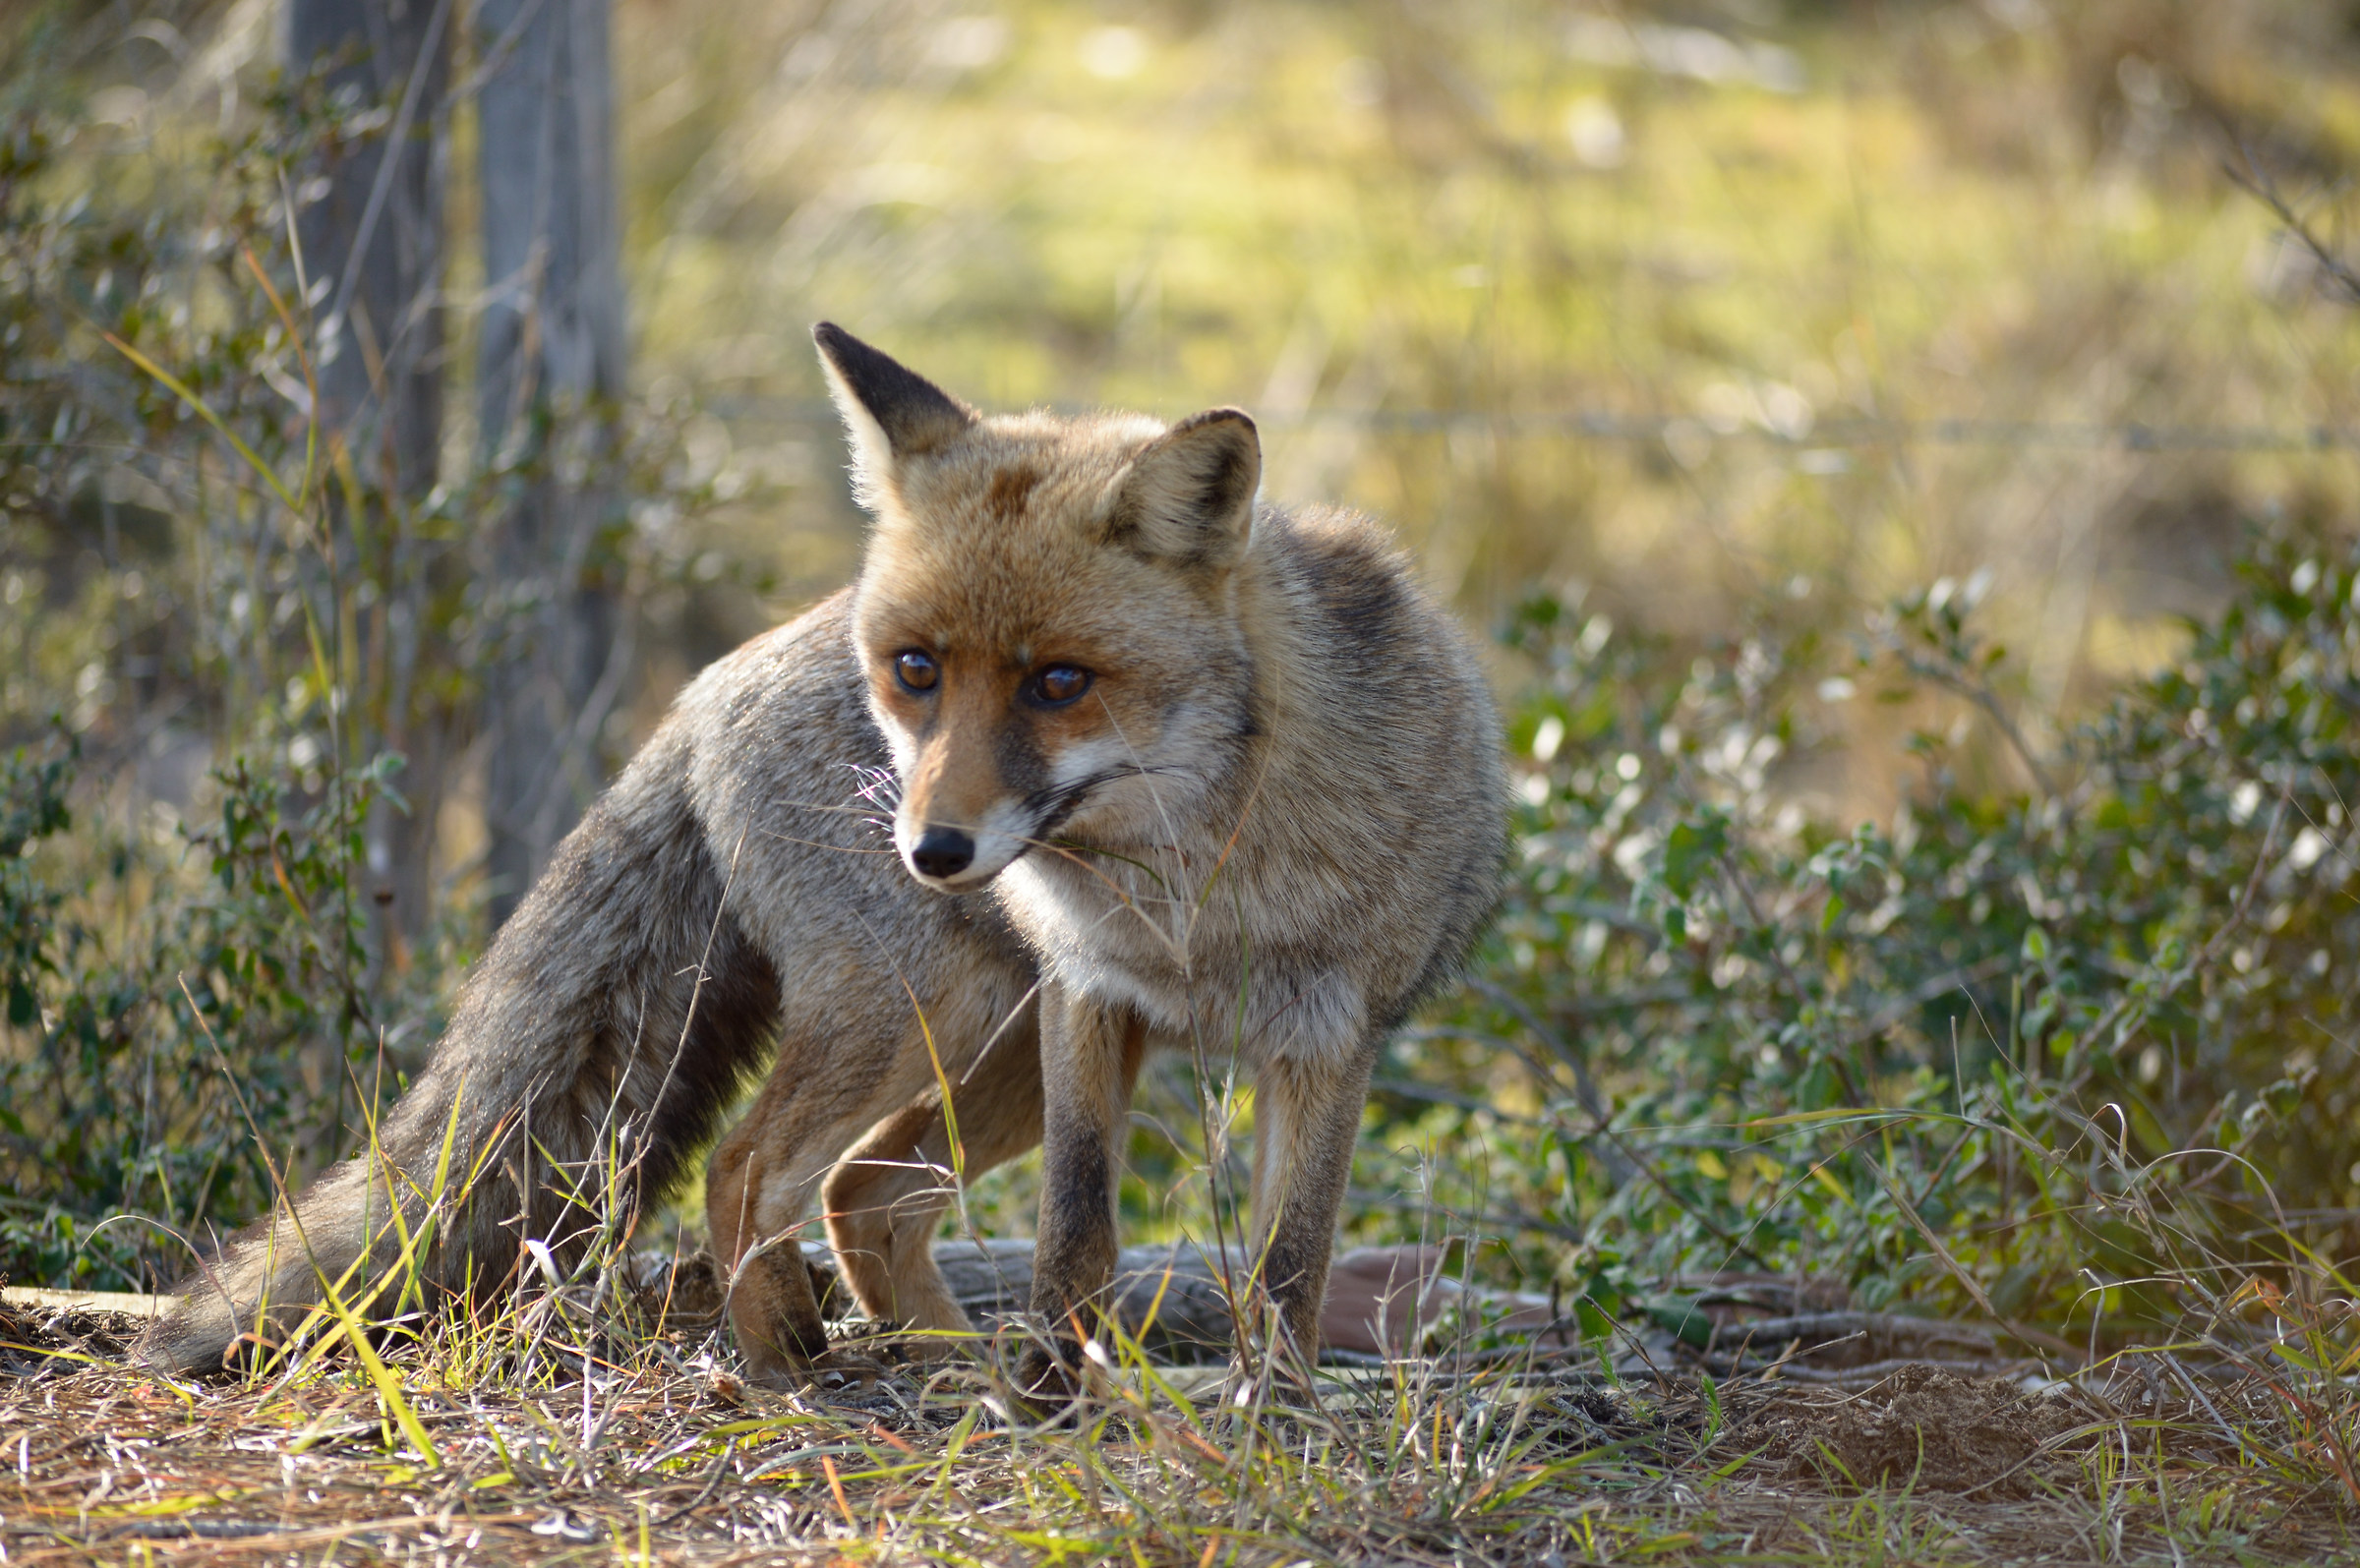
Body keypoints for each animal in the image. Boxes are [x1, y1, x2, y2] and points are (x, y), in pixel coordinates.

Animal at [139, 325, 1506, 1393]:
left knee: (861, 1192)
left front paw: (1265, 1415)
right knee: (755, 1168)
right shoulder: (1089, 997)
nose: (931, 847)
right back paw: (791, 1359)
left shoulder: (1323, 1037)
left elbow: (1289, 1267)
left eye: (1061, 682)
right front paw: (1063, 1404)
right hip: (943, 1011)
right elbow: (1077, 1234)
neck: (1185, 897)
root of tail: (712, 681)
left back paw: (942, 1359)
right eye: (917, 668)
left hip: (987, 1037)